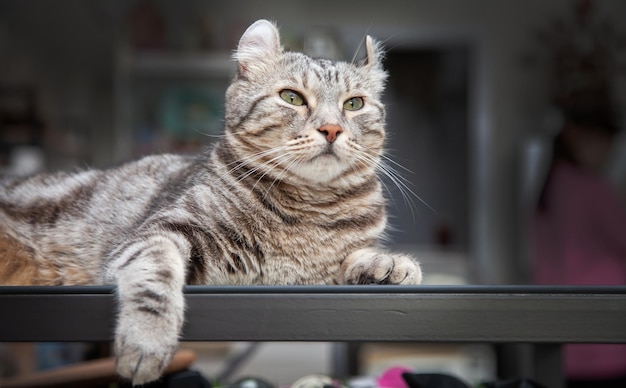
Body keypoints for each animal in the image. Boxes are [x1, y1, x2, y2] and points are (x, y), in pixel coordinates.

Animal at [0, 19, 422, 384]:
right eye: (291, 97)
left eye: (354, 104)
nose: (332, 128)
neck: (310, 207)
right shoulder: (159, 236)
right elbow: (155, 277)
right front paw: (147, 339)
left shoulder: (315, 275)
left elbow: (353, 256)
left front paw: (388, 263)